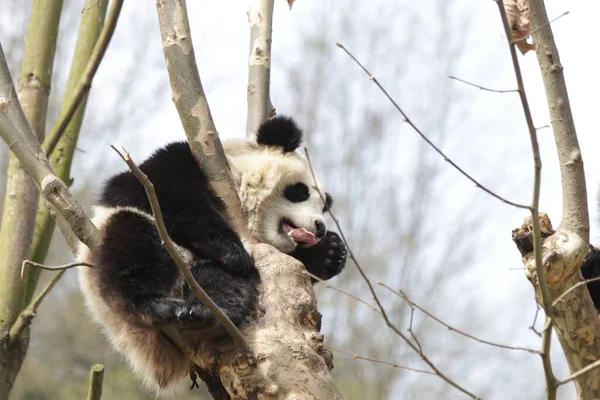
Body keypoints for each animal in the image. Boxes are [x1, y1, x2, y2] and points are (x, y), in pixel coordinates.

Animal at [78, 115, 346, 394]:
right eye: (301, 191)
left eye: (324, 207)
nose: (320, 227)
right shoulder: (176, 164)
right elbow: (171, 196)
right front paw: (233, 252)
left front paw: (330, 252)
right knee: (133, 243)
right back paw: (153, 305)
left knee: (224, 282)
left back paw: (207, 312)